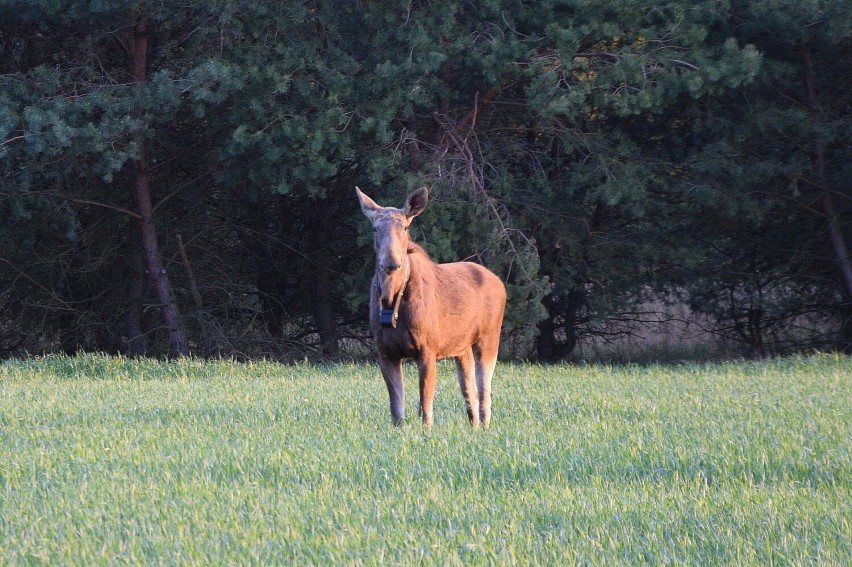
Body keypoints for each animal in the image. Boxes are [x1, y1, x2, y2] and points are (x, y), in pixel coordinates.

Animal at [354, 189, 506, 428]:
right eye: (374, 228)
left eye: (405, 227)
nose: (392, 262)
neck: (391, 301)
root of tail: (500, 284)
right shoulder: (385, 352)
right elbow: (397, 410)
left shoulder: (428, 348)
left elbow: (425, 406)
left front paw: (425, 432)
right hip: (461, 348)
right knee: (469, 392)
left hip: (489, 338)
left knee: (485, 393)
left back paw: (485, 428)